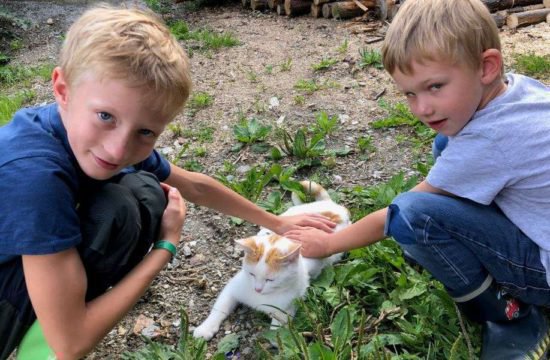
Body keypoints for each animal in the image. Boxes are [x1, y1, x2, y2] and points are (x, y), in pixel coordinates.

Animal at [194, 180, 350, 340]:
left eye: (270, 280)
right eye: (251, 274)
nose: (257, 289)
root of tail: (333, 206)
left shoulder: (289, 303)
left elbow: (280, 327)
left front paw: (278, 338)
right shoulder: (233, 287)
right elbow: (220, 307)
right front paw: (205, 328)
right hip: (291, 215)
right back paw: (264, 232)